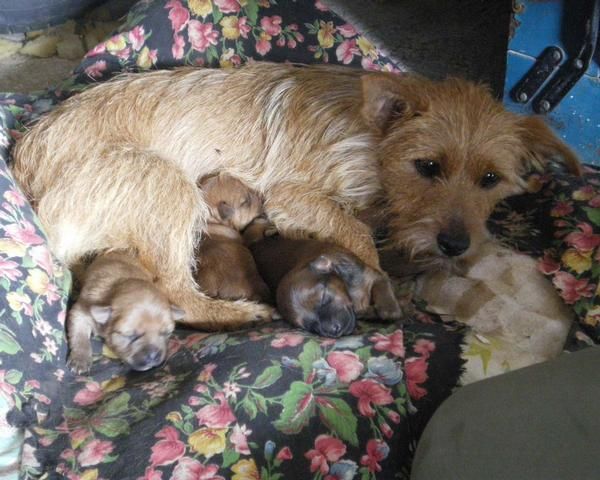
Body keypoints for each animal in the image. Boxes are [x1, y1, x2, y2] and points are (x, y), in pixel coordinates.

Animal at [244, 218, 398, 338]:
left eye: (323, 297)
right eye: (310, 326)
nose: (333, 330)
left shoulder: (373, 276)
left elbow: (384, 295)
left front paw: (386, 309)